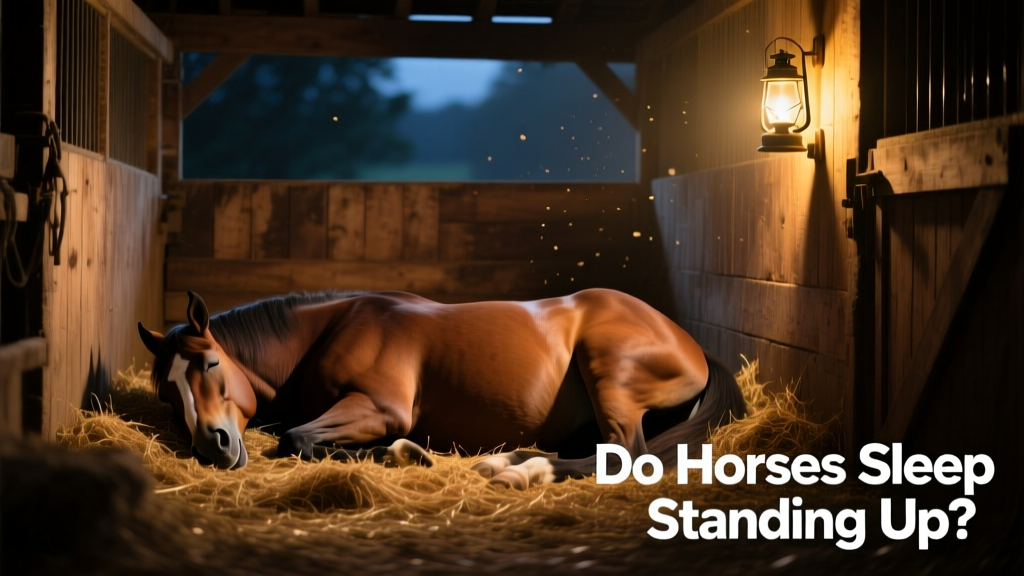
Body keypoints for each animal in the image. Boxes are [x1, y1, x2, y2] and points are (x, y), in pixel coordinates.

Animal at [138, 288, 745, 488]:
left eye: (211, 363)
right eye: (166, 392)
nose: (212, 447)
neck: (330, 330)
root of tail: (689, 343)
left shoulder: (380, 409)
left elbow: (297, 438)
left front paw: (407, 454)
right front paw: (407, 455)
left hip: (610, 375)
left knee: (624, 456)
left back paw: (522, 473)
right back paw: (509, 461)